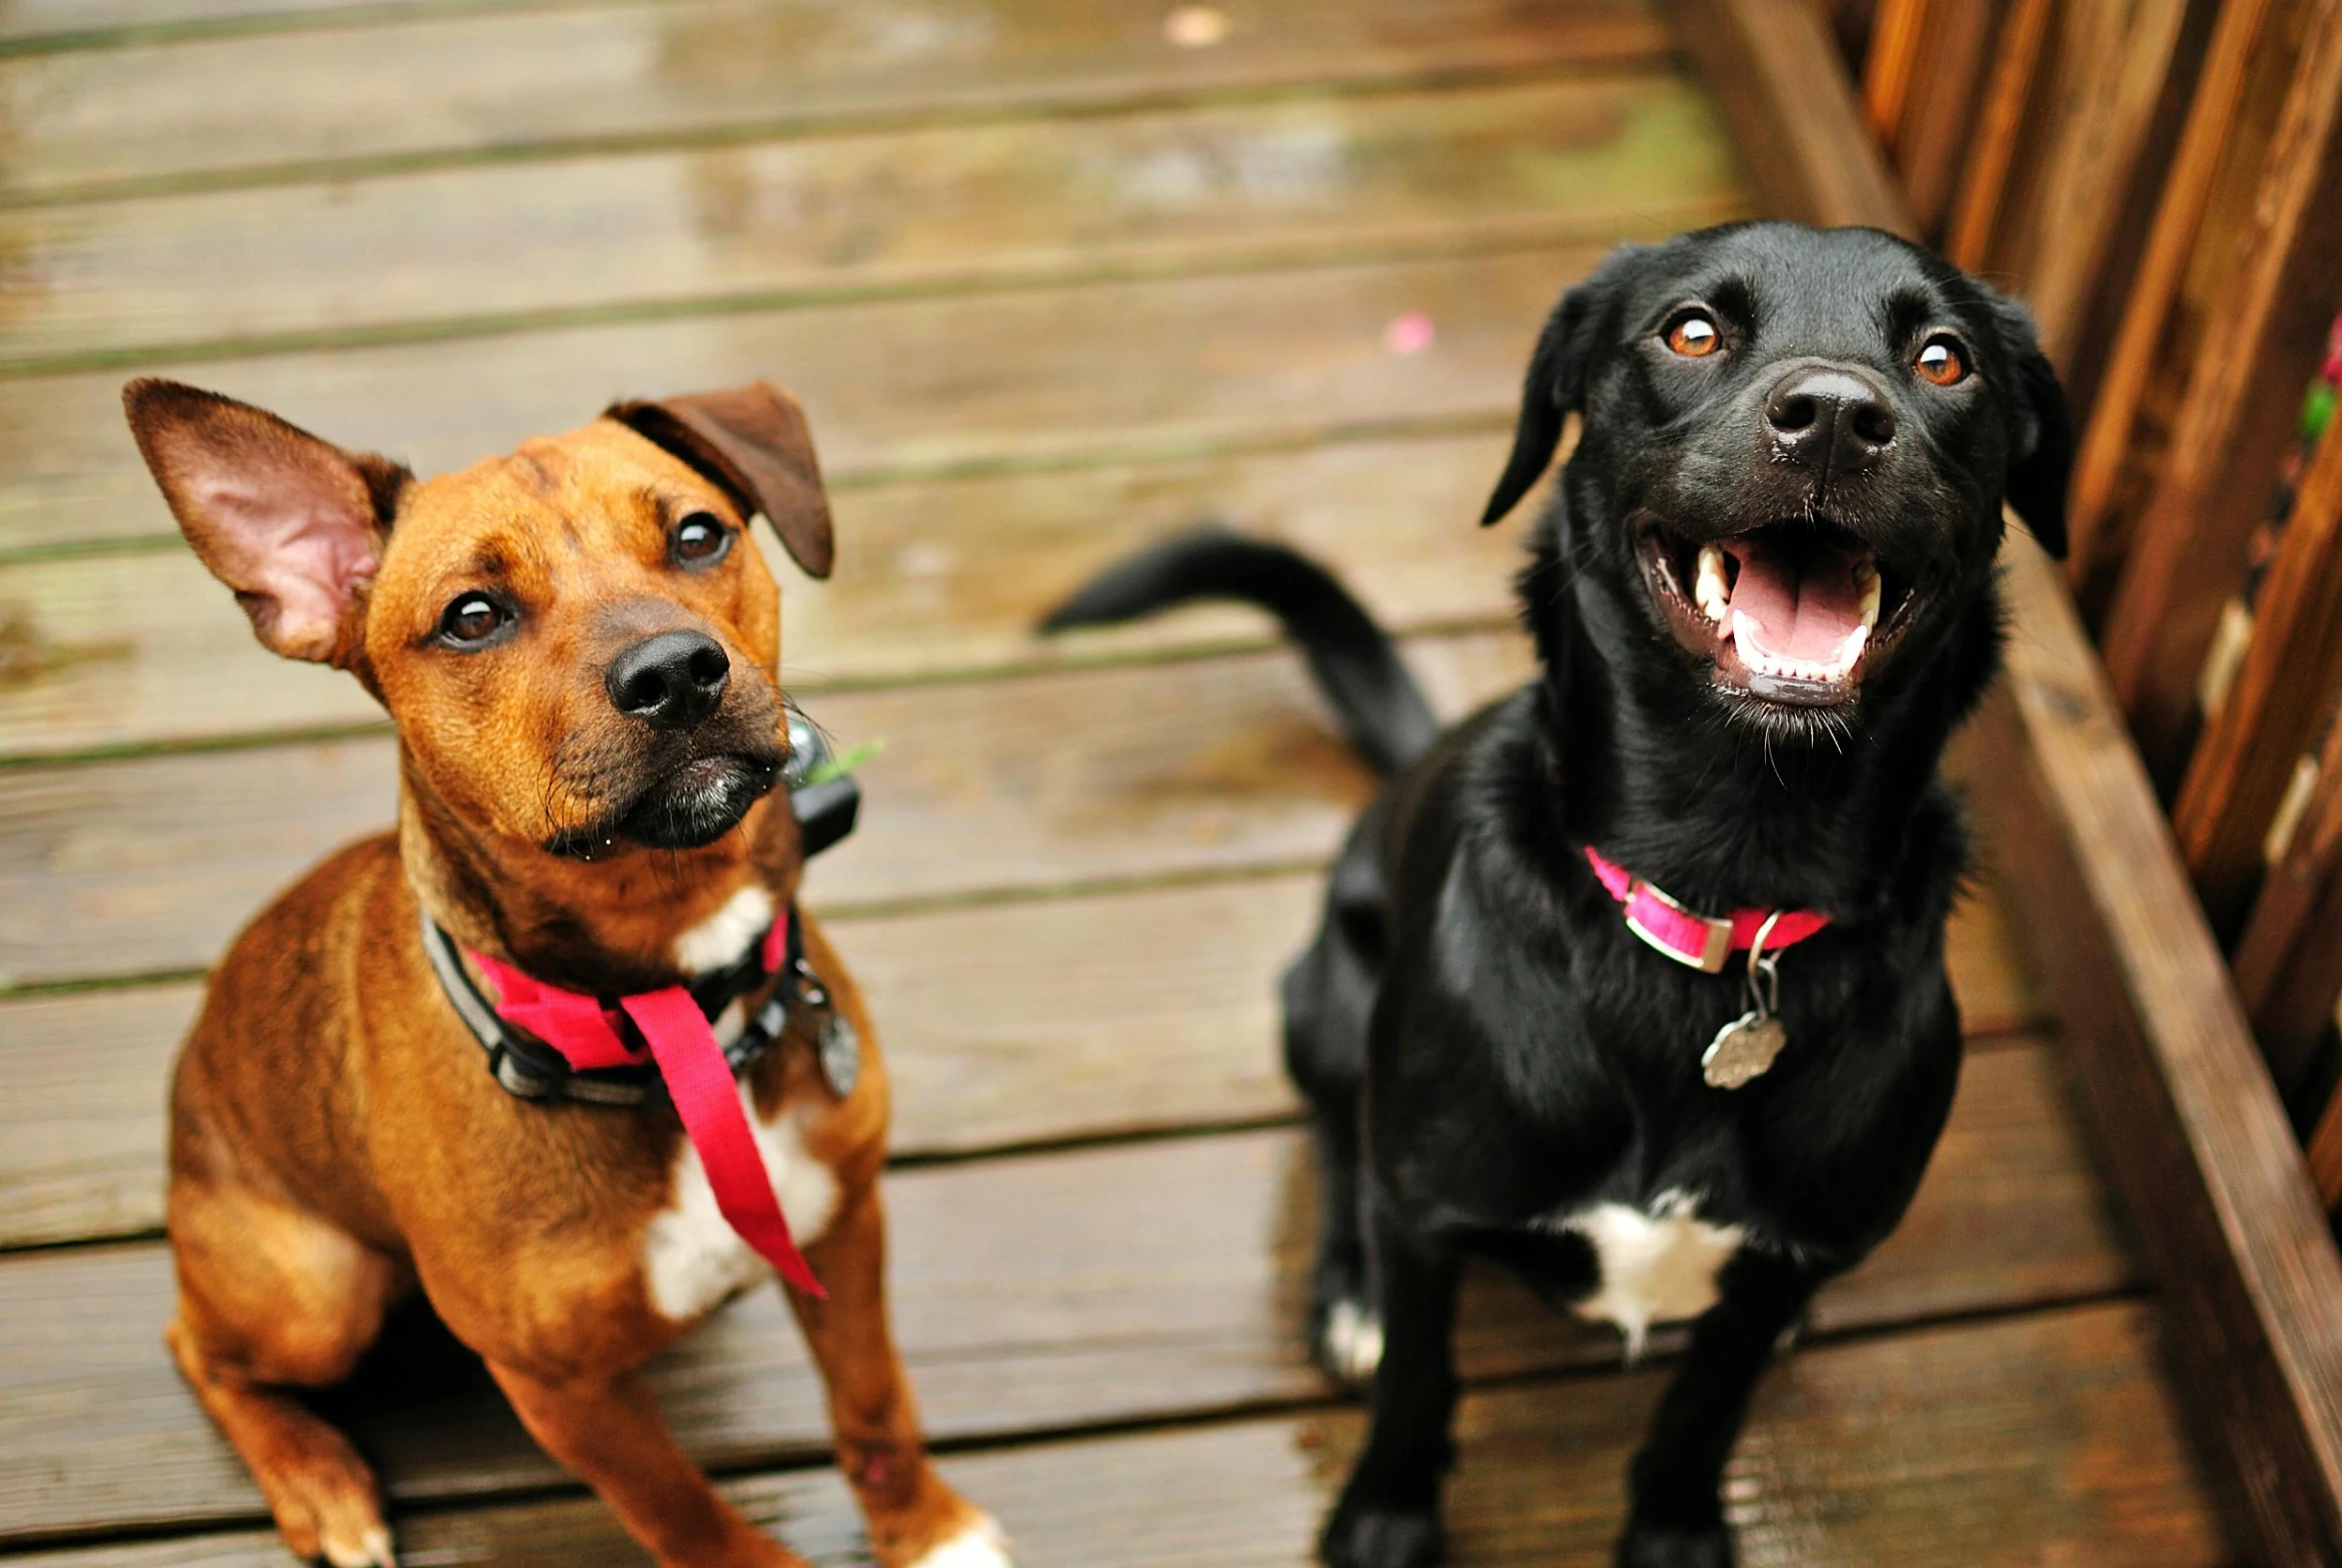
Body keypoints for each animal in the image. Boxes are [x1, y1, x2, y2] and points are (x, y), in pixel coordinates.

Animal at [121, 383, 1006, 1568]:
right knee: (195, 1343)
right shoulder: (562, 1387)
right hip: (316, 1293)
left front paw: (928, 1533)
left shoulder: (844, 1220)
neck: (673, 1013)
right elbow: (684, 1509)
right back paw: (321, 1482)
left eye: (698, 534)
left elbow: (873, 1405)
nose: (676, 671)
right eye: (473, 615)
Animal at [1044, 225, 2069, 1568]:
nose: (1839, 420)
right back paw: (1350, 1287)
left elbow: (1705, 1405)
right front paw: (1385, 1516)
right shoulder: (1430, 1210)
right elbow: (1419, 1381)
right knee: (1335, 1134)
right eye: (1692, 331)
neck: (1724, 886)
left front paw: (1676, 1526)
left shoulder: (1780, 1271)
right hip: (1325, 1002)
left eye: (1944, 358)